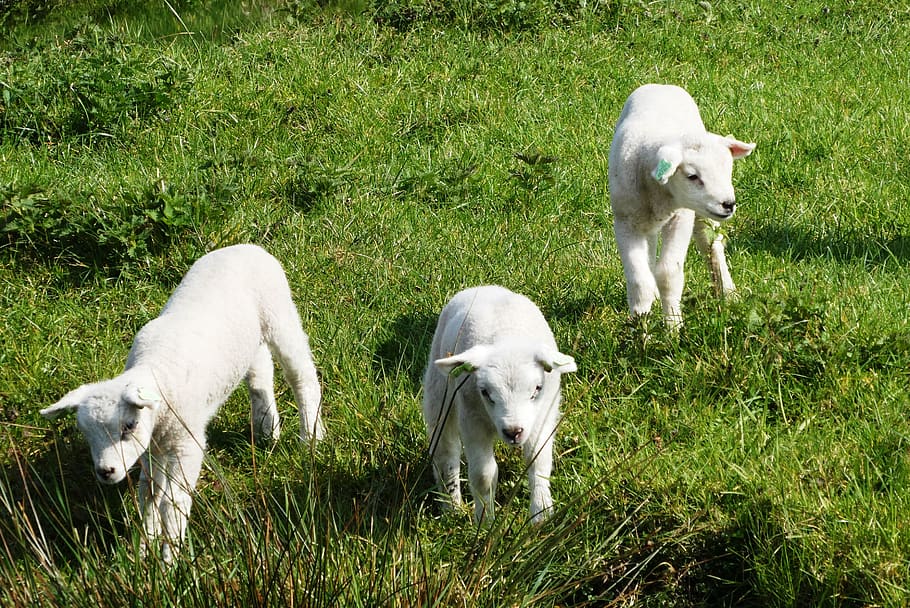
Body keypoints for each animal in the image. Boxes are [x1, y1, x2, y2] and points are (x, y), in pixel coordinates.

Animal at [40, 244, 324, 562]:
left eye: (129, 425)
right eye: (86, 434)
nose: (106, 471)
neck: (156, 368)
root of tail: (246, 246)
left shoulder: (186, 443)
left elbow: (172, 503)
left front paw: (169, 560)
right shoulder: (154, 447)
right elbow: (149, 494)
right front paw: (144, 551)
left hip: (279, 313)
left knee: (302, 376)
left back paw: (311, 436)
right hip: (248, 339)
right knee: (260, 373)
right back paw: (266, 430)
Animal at [421, 285, 577, 525]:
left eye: (537, 389)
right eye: (485, 392)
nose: (513, 431)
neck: (508, 336)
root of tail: (484, 287)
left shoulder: (542, 416)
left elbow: (538, 461)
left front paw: (541, 515)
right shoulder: (472, 419)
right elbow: (483, 475)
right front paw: (484, 521)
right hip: (439, 391)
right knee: (445, 452)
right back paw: (451, 507)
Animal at [608, 83, 755, 328]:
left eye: (728, 169)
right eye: (692, 176)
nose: (729, 204)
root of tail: (661, 85)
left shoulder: (681, 217)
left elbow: (669, 273)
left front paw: (673, 327)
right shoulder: (624, 221)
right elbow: (639, 281)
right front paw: (640, 326)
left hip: (701, 215)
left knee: (712, 247)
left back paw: (728, 293)